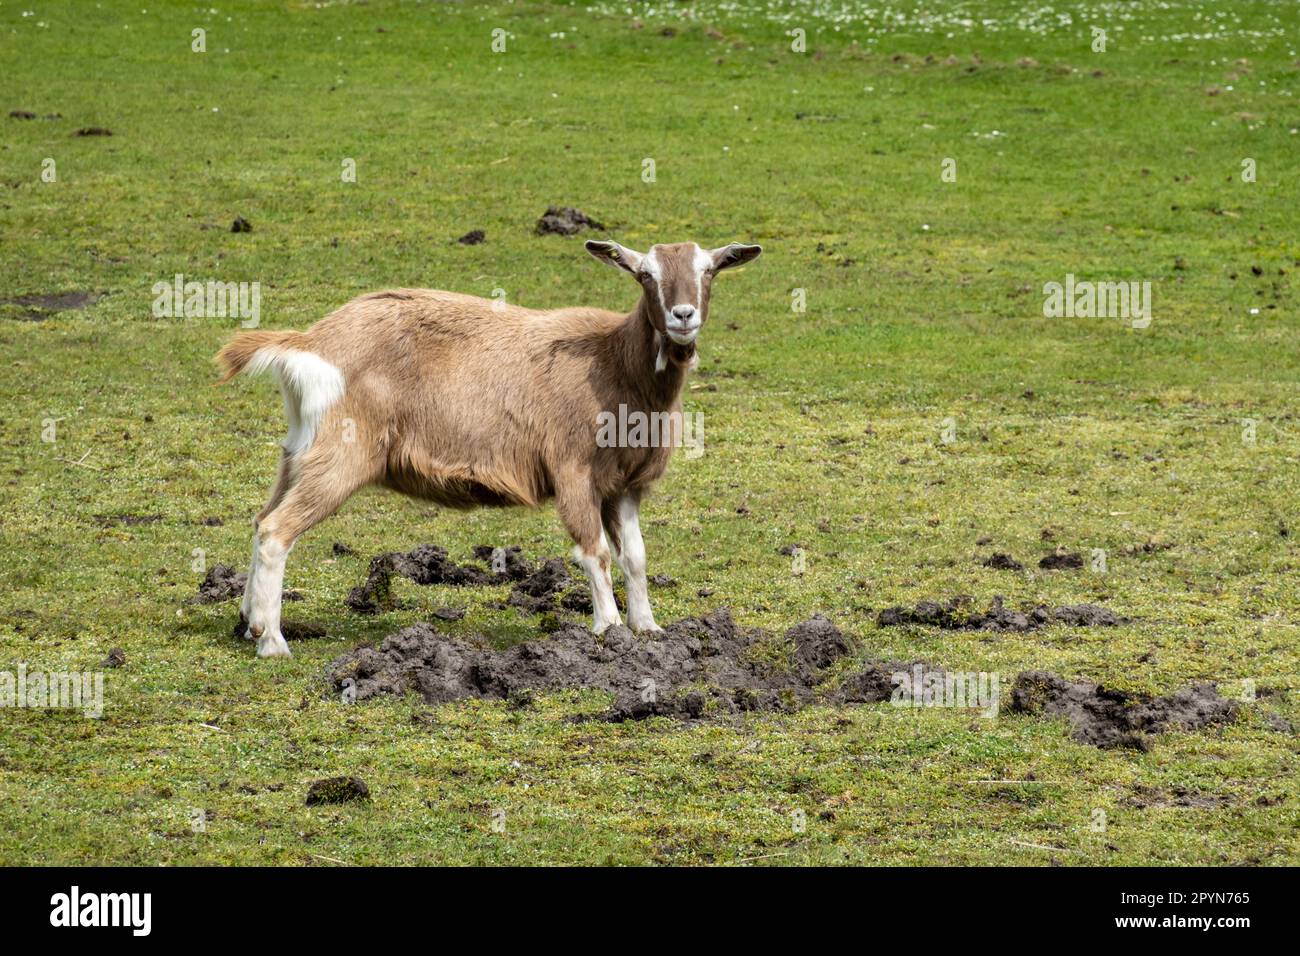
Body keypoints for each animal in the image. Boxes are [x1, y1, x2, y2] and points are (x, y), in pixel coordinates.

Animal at [216, 239, 762, 658]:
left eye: (708, 269)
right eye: (645, 274)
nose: (683, 315)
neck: (614, 362)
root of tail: (309, 342)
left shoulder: (625, 484)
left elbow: (636, 556)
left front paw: (648, 628)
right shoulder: (574, 471)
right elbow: (595, 552)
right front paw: (608, 629)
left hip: (301, 449)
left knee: (261, 519)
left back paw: (247, 621)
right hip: (341, 455)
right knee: (276, 531)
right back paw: (273, 642)